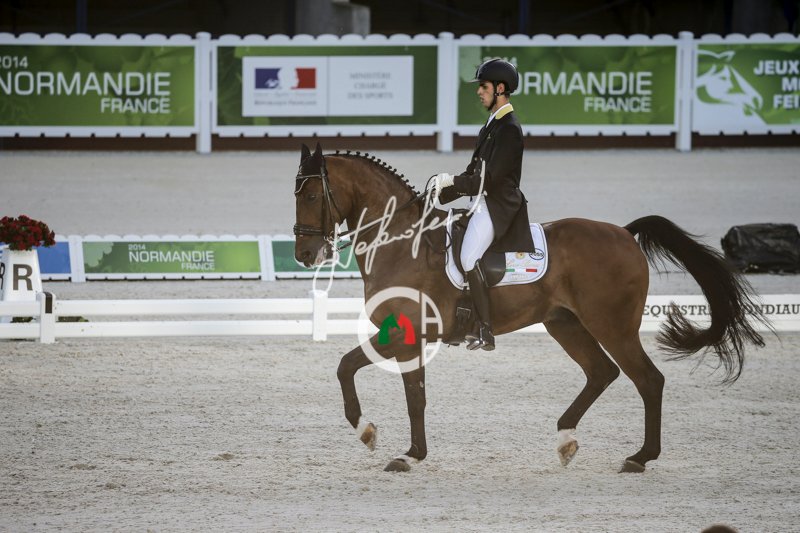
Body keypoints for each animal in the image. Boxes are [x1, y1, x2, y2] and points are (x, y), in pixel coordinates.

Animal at [292, 143, 768, 473]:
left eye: (312, 196)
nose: (304, 254)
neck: (401, 242)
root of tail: (625, 234)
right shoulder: (409, 337)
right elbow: (400, 389)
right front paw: (399, 448)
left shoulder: (404, 334)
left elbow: (366, 375)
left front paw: (380, 439)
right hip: (566, 324)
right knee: (602, 372)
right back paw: (566, 440)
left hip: (611, 326)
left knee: (648, 379)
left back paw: (639, 457)